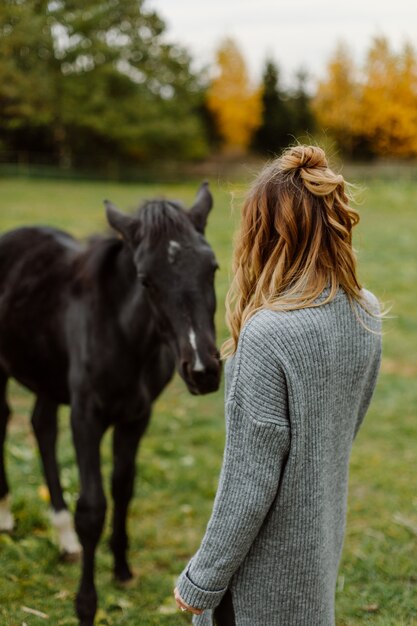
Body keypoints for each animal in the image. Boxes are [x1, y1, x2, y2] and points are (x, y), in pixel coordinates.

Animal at [0, 182, 221, 624]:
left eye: (212, 268)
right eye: (145, 280)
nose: (203, 370)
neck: (124, 335)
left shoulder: (136, 417)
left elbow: (123, 487)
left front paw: (121, 568)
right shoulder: (86, 416)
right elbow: (92, 508)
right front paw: (86, 605)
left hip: (48, 378)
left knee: (41, 427)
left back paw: (64, 538)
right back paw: (6, 515)